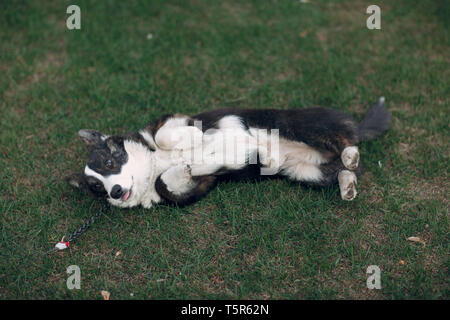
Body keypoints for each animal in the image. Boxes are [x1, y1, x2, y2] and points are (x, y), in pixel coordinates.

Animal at [66, 96, 390, 209]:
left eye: (110, 161)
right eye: (96, 187)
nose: (116, 192)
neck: (153, 164)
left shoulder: (172, 120)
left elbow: (163, 135)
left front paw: (195, 138)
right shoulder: (199, 186)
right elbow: (168, 185)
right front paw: (181, 170)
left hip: (301, 125)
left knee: (345, 141)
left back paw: (349, 152)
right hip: (306, 173)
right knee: (344, 170)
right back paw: (347, 184)